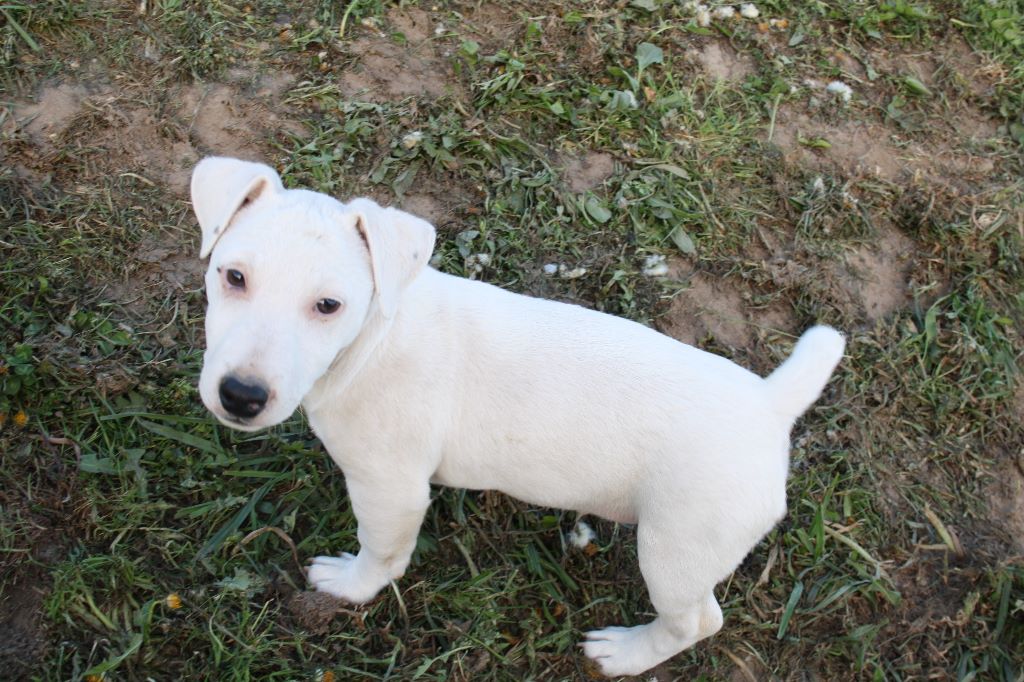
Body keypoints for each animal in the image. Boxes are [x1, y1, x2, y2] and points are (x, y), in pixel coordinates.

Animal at [191, 156, 844, 676]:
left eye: (328, 306)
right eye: (233, 276)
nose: (241, 395)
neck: (373, 334)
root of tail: (769, 403)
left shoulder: (389, 489)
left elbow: (381, 552)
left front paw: (352, 587)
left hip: (677, 548)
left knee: (695, 621)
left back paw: (626, 653)